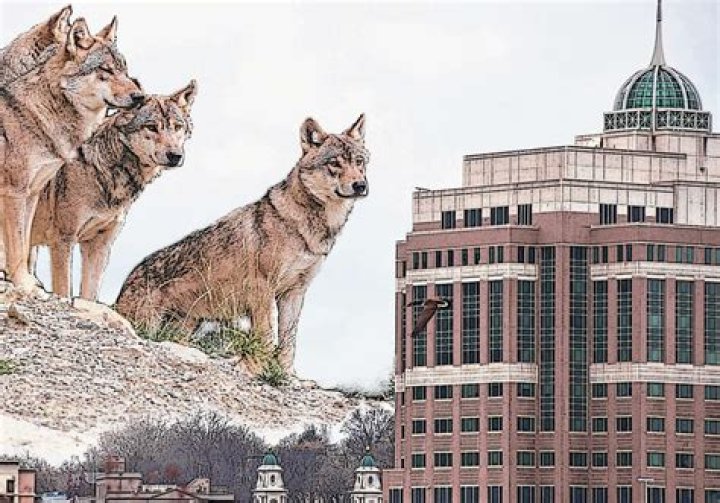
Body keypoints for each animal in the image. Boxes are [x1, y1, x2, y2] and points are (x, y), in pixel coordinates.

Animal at [0, 16, 143, 291]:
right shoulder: (14, 192)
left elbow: (24, 246)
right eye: (106, 70)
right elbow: (18, 248)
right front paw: (23, 284)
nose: (140, 96)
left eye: (124, 70)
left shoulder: (32, 193)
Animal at [31, 81, 197, 301]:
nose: (175, 155)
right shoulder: (62, 240)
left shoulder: (99, 246)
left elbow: (89, 296)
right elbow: (64, 291)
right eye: (151, 127)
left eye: (177, 127)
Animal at [116, 114, 369, 372]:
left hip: (185, 327)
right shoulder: (262, 289)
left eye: (359, 162)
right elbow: (266, 336)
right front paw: (260, 368)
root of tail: (129, 277)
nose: (360, 185)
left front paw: (286, 373)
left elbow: (289, 342)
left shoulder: (294, 293)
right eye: (335, 163)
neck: (310, 228)